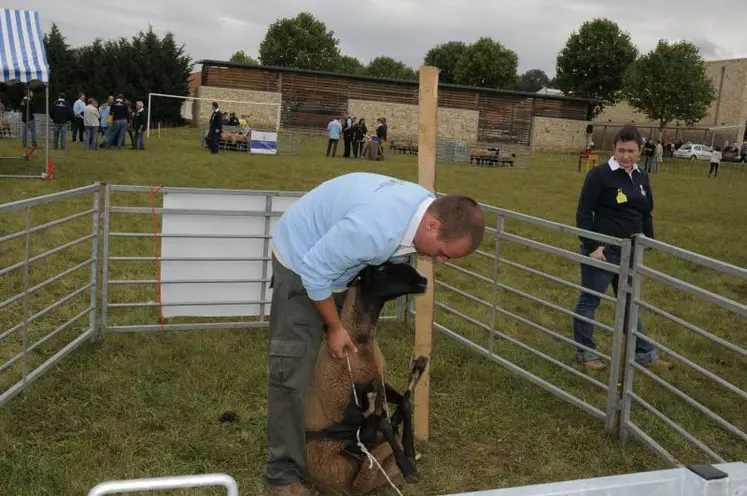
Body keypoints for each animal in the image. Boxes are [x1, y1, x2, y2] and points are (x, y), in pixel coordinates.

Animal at [304, 262, 430, 494]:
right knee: (372, 434)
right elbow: (383, 425)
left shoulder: (381, 381)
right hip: (341, 443)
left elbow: (405, 402)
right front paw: (408, 467)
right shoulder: (343, 409)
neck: (359, 343)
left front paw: (408, 450)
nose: (423, 279)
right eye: (380, 269)